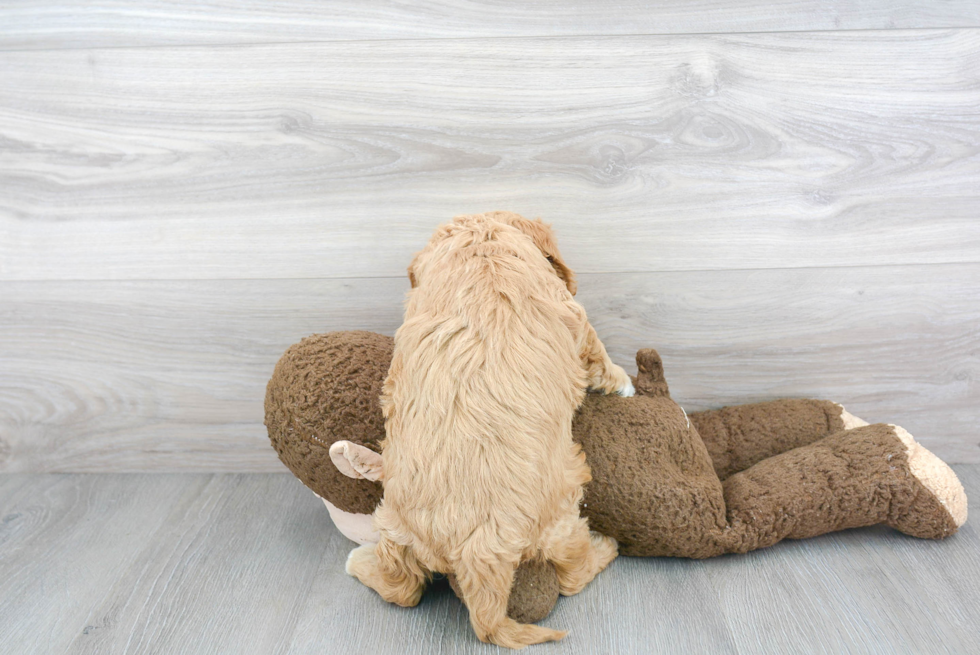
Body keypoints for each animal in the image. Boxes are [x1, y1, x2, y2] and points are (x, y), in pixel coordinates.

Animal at [348, 213, 632, 648]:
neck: (481, 243)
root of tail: (476, 552)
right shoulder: (572, 315)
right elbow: (597, 354)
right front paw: (623, 382)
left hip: (396, 525)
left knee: (402, 587)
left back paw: (359, 562)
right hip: (562, 520)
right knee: (572, 576)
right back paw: (606, 548)